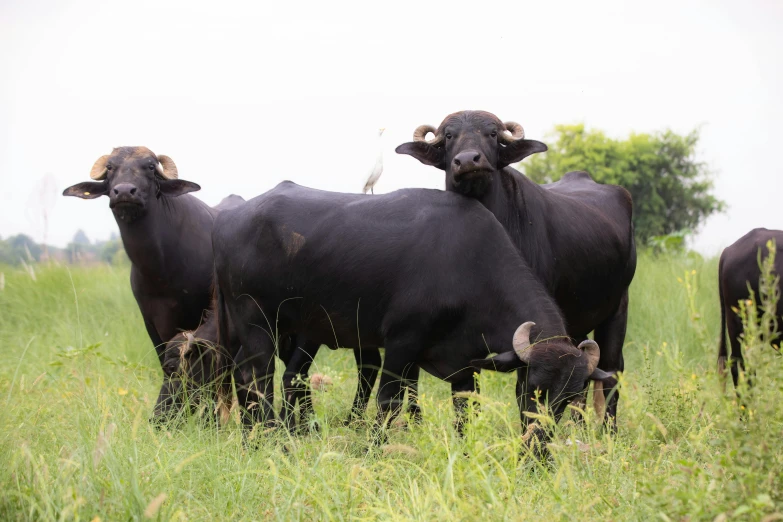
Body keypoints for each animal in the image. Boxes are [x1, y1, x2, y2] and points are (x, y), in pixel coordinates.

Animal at [211, 180, 616, 446]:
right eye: (532, 389)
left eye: (571, 397)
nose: (539, 445)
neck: (466, 264)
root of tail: (229, 220)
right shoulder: (401, 343)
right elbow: (388, 402)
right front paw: (375, 448)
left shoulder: (464, 364)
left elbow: (465, 410)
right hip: (257, 320)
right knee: (258, 376)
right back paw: (267, 436)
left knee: (257, 374)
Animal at [398, 109, 636, 426]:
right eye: (449, 136)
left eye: (492, 134)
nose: (468, 160)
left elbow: (527, 390)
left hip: (618, 309)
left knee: (611, 373)